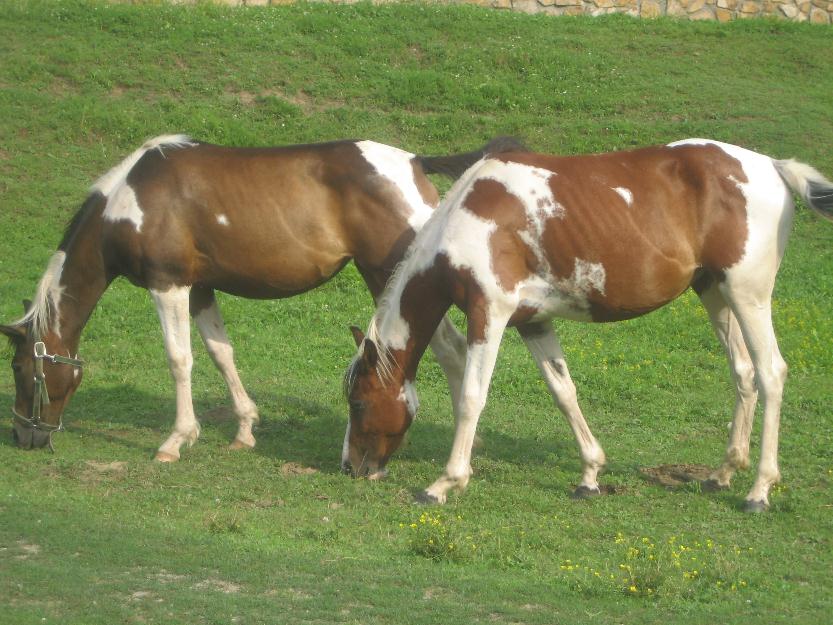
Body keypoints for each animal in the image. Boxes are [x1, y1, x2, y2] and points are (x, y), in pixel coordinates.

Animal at [1, 135, 520, 458]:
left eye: (21, 369)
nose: (23, 435)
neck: (129, 203)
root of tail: (413, 162)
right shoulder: (200, 289)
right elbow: (220, 352)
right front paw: (245, 428)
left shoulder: (169, 285)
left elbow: (179, 358)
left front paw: (177, 439)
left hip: (389, 277)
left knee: (450, 349)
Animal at [342, 139, 832, 510]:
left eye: (360, 403)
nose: (350, 468)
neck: (468, 222)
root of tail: (772, 166)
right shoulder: (533, 322)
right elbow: (564, 391)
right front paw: (590, 475)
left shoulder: (489, 314)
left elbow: (471, 398)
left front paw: (445, 483)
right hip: (715, 293)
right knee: (744, 373)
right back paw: (723, 473)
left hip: (749, 296)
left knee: (770, 373)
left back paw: (759, 490)